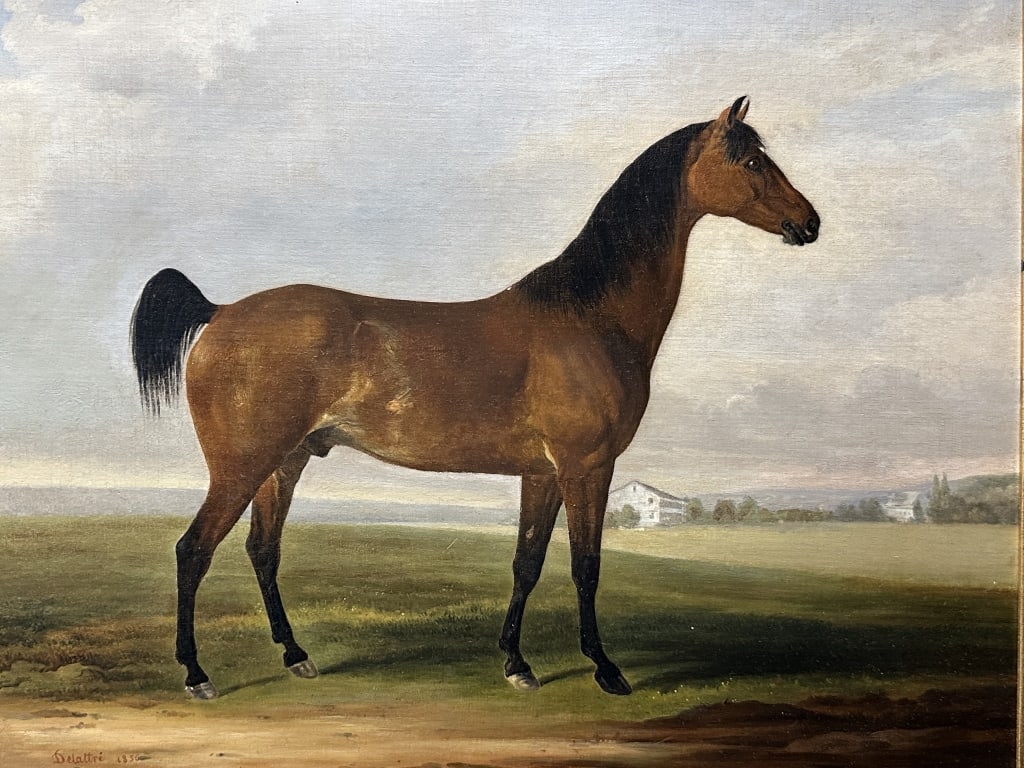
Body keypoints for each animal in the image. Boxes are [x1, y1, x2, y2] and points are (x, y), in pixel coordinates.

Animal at [130, 96, 819, 700]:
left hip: (287, 462)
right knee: (194, 550)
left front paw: (517, 664)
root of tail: (219, 312)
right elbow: (586, 566)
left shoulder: (543, 474)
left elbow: (527, 563)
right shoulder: (587, 468)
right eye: (750, 161)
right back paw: (196, 674)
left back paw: (297, 656)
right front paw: (605, 669)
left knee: (262, 552)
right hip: (241, 466)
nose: (810, 222)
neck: (588, 317)